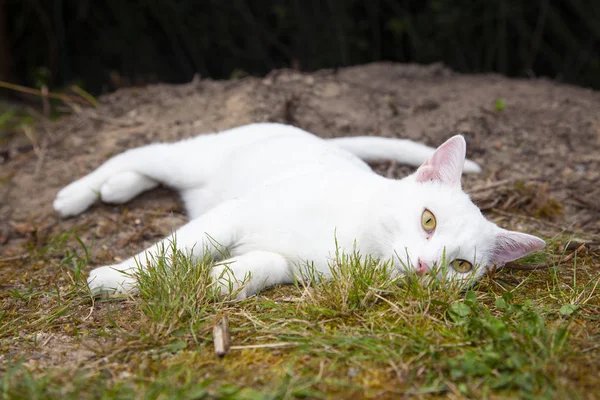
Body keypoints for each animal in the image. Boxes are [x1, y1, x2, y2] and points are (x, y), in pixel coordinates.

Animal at [54, 123, 548, 298]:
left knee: (146, 174)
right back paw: (74, 196)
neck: (358, 243)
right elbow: (176, 248)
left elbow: (270, 263)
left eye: (460, 266)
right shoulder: (235, 212)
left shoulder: (298, 266)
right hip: (191, 159)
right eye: (428, 220)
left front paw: (231, 276)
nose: (427, 266)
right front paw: (118, 278)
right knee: (138, 153)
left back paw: (117, 189)